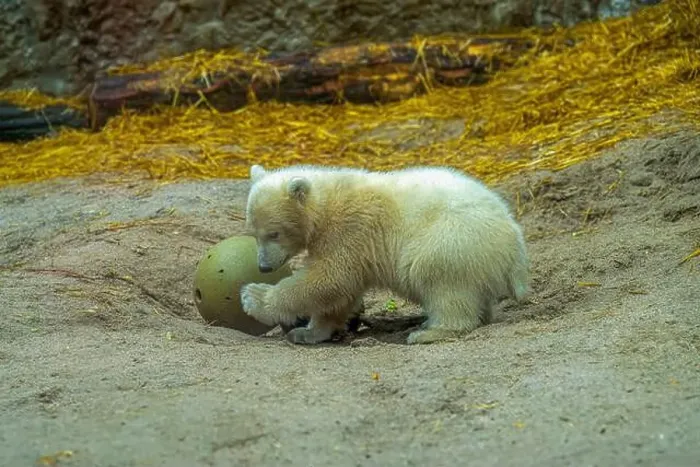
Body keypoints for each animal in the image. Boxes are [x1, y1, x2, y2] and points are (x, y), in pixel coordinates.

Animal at [240, 163, 530, 345]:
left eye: (274, 233)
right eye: (253, 233)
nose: (264, 267)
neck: (328, 200)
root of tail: (514, 245)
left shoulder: (350, 229)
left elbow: (331, 278)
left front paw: (255, 297)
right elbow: (339, 293)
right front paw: (308, 333)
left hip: (453, 239)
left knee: (438, 278)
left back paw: (429, 331)